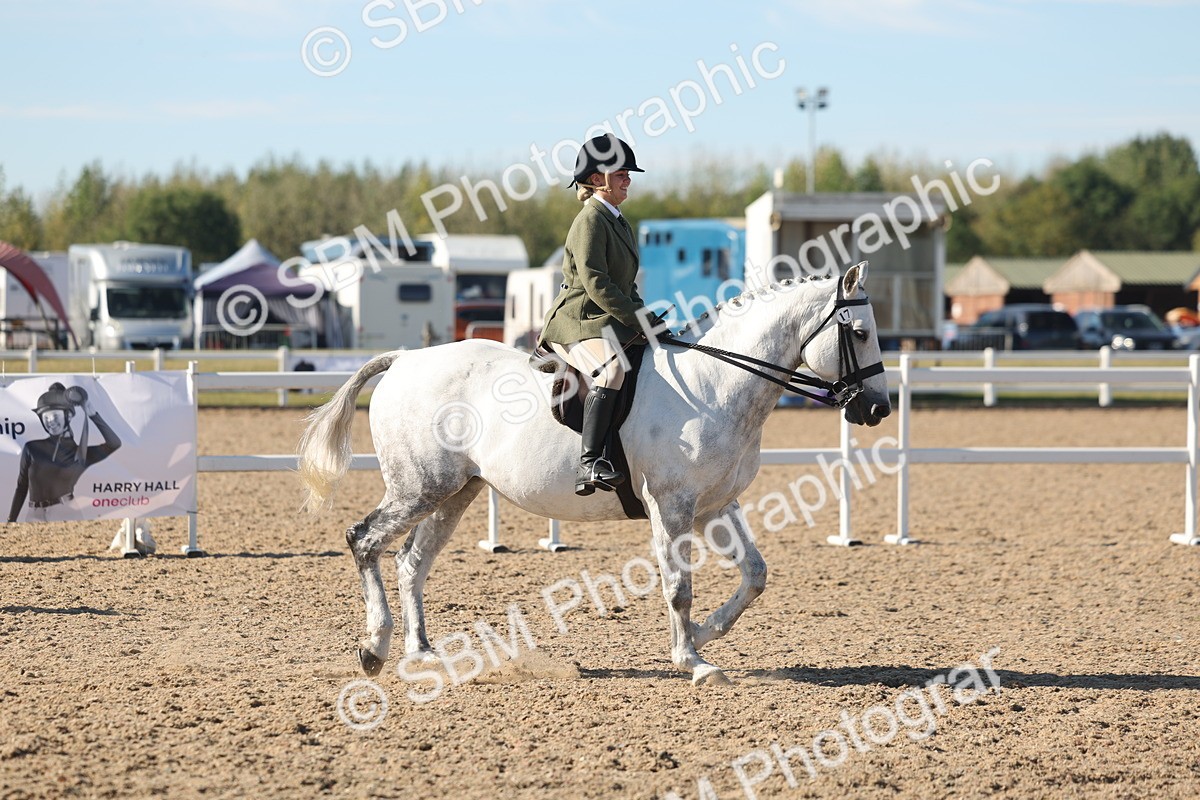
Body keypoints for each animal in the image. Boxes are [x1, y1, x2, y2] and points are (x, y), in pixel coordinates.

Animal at [298, 261, 890, 686]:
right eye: (860, 332)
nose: (878, 409)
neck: (714, 383)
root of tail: (404, 359)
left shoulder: (716, 507)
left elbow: (755, 574)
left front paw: (703, 635)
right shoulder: (672, 506)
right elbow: (678, 586)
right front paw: (692, 660)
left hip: (455, 492)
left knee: (412, 561)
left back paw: (422, 652)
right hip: (419, 486)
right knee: (364, 540)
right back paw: (374, 648)